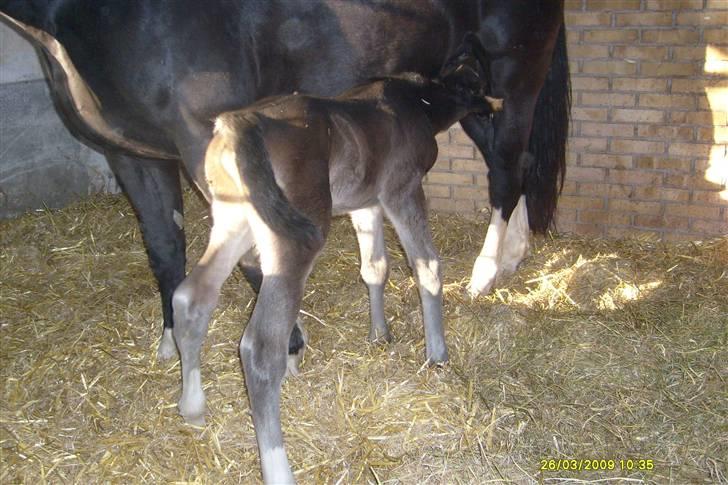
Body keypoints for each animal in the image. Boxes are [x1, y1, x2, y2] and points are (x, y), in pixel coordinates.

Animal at [172, 36, 500, 482]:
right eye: (479, 74)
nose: (496, 105)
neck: (419, 103)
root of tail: (241, 122)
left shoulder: (366, 204)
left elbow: (375, 268)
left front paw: (380, 335)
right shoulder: (401, 190)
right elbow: (427, 266)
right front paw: (437, 355)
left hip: (234, 222)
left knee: (192, 296)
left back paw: (192, 407)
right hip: (295, 237)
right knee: (260, 349)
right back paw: (278, 468)